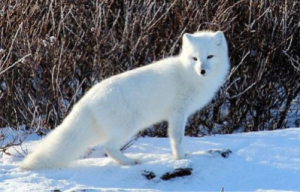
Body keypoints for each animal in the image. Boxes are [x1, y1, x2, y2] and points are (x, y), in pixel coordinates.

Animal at [20, 30, 230, 170]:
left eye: (210, 56)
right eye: (195, 58)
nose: (202, 71)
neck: (188, 74)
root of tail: (89, 96)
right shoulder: (178, 113)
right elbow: (177, 139)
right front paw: (181, 159)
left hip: (99, 132)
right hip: (129, 126)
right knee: (109, 147)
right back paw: (130, 162)